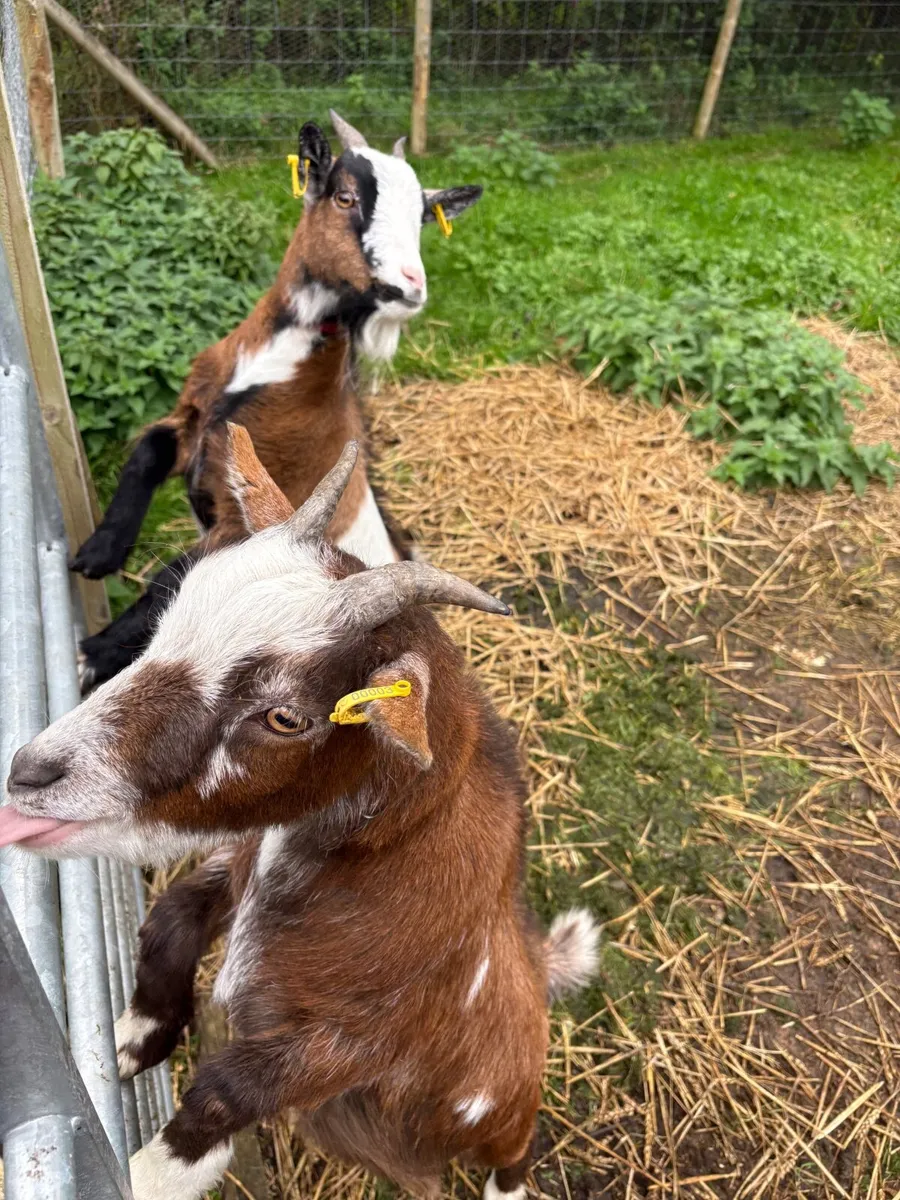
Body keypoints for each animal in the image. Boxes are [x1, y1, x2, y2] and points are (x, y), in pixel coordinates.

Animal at [3, 428, 599, 1200]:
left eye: (284, 717)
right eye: (166, 618)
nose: (30, 773)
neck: (385, 857)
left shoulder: (361, 1040)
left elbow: (232, 1087)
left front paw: (155, 1170)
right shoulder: (240, 860)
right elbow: (169, 918)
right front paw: (138, 1037)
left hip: (504, 1113)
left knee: (516, 1152)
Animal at [72, 110, 482, 689]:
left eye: (421, 218)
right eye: (345, 196)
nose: (410, 288)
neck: (275, 368)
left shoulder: (246, 511)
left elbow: (174, 574)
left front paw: (93, 654)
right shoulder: (195, 425)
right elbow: (146, 454)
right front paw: (98, 554)